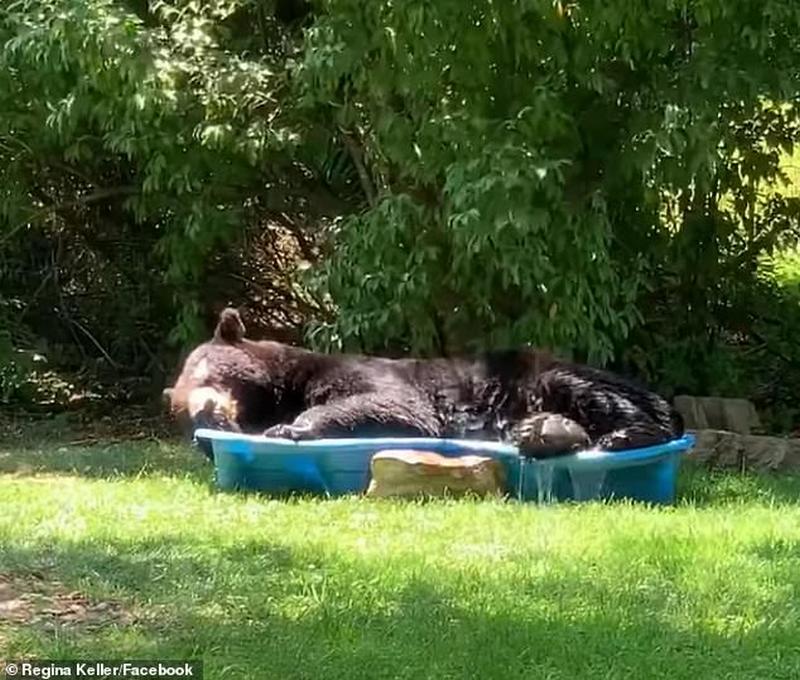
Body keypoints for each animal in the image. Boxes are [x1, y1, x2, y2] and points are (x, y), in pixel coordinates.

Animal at [162, 306, 680, 456]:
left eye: (205, 371)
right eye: (180, 410)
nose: (205, 411)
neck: (283, 385)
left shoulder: (362, 373)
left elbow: (390, 405)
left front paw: (293, 426)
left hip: (544, 374)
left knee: (604, 397)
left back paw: (622, 434)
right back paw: (547, 432)